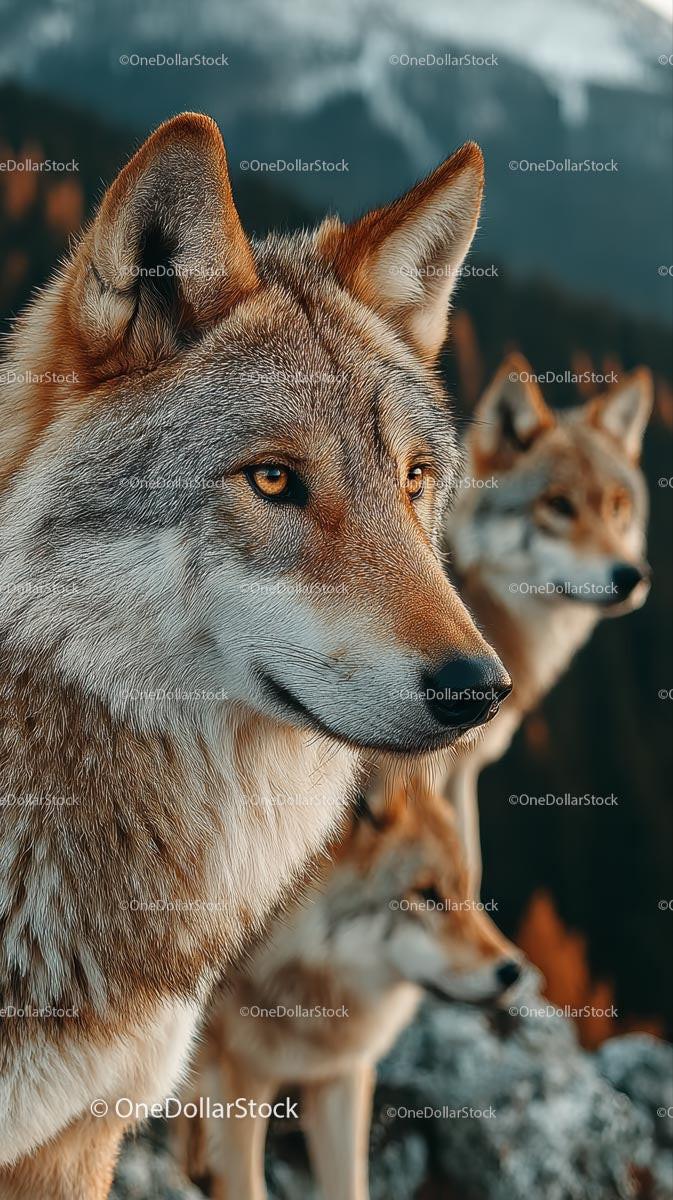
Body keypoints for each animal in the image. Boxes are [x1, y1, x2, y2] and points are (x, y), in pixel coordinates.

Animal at [178, 777, 522, 1200]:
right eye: (426, 893)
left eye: (467, 889)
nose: (513, 970)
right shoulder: (239, 1081)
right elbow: (246, 1184)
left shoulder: (341, 1076)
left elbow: (349, 1185)